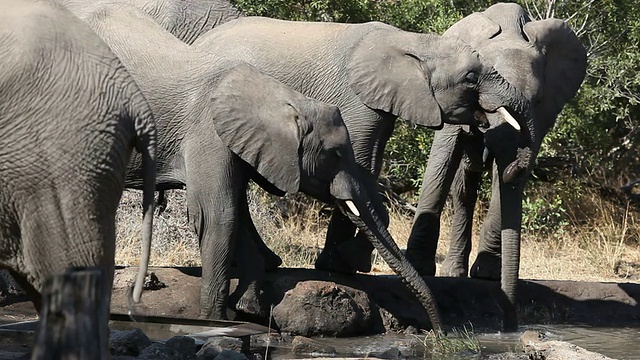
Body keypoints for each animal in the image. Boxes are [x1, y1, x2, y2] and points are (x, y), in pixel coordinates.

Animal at [77, 3, 450, 332]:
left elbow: (236, 210)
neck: (279, 98)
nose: (438, 332)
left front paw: (248, 307)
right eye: (335, 155)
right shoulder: (206, 133)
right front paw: (215, 321)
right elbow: (218, 214)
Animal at [194, 16, 528, 276]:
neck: (414, 43)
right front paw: (348, 262)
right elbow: (362, 167)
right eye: (471, 78)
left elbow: (367, 166)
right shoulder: (356, 100)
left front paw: (338, 264)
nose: (481, 134)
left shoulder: (381, 102)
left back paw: (265, 263)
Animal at [408, 2, 588, 330]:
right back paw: (452, 271)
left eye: (538, 99)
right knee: (464, 186)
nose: (510, 325)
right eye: (485, 94)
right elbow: (443, 159)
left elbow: (503, 180)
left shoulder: (545, 113)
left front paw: (488, 274)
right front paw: (419, 266)